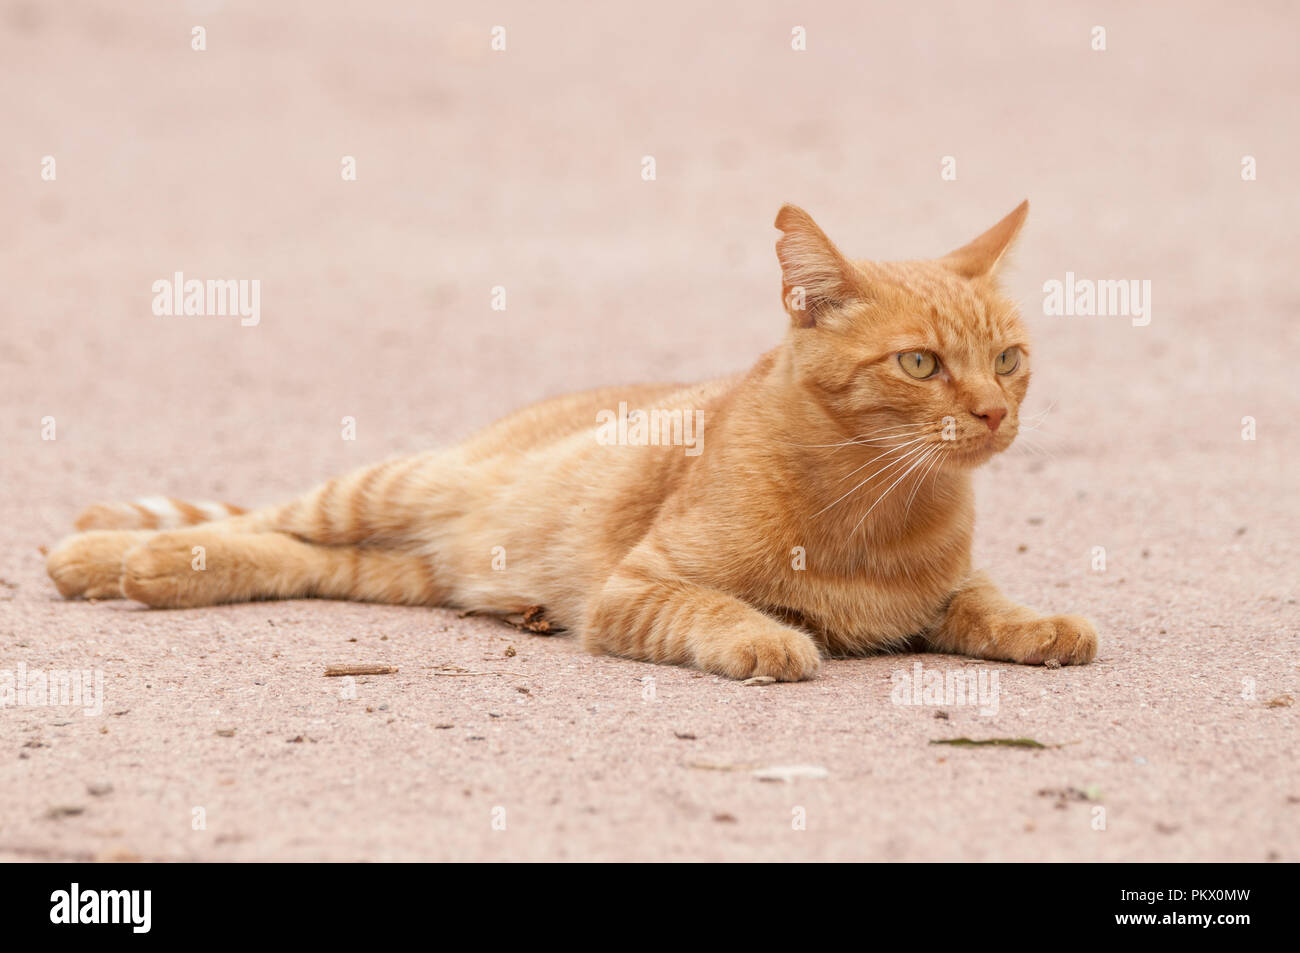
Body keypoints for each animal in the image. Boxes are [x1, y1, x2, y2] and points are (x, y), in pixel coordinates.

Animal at [43, 200, 1097, 676]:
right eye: (921, 364)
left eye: (1008, 359)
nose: (996, 414)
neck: (876, 504)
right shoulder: (637, 589)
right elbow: (718, 609)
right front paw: (773, 637)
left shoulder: (948, 589)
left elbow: (984, 603)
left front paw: (1042, 623)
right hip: (392, 487)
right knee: (267, 515)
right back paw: (103, 553)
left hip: (399, 569)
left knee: (288, 553)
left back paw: (152, 567)